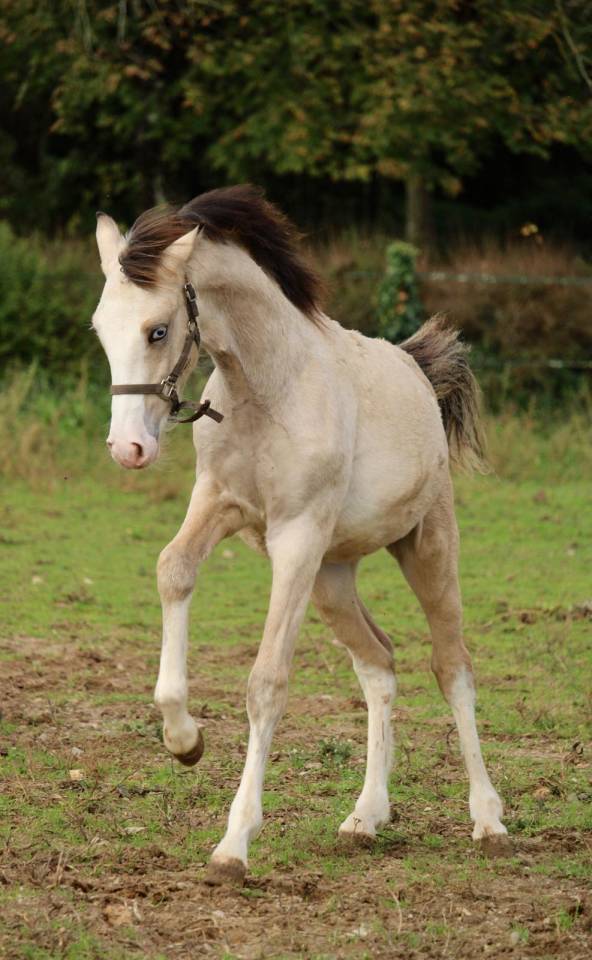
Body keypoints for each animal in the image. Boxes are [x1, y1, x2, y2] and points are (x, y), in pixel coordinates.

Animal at [92, 184, 508, 885]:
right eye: (100, 329)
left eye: (158, 329)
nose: (128, 449)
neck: (268, 388)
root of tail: (418, 373)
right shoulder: (220, 504)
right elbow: (173, 569)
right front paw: (184, 740)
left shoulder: (295, 539)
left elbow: (266, 684)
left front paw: (234, 844)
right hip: (331, 577)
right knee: (379, 663)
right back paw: (366, 816)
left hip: (423, 549)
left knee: (452, 666)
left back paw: (487, 820)